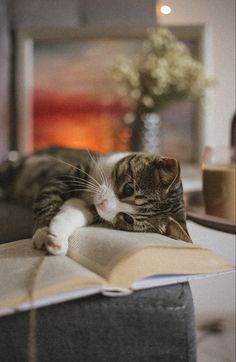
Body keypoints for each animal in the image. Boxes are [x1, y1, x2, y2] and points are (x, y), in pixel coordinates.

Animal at [0, 146, 192, 255]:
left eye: (128, 219)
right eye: (129, 189)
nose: (102, 204)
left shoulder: (91, 209)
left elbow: (74, 214)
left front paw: (56, 238)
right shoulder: (66, 178)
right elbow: (48, 200)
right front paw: (43, 231)